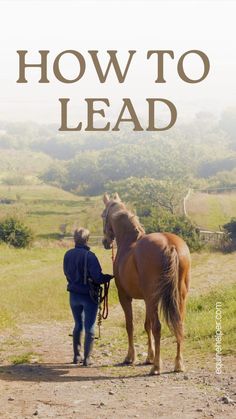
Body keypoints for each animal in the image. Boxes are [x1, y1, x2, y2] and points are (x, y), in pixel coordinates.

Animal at [102, 192, 191, 376]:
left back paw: (156, 366)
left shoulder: (125, 297)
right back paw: (178, 364)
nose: (105, 242)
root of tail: (169, 244)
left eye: (102, 215)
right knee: (179, 324)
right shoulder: (146, 299)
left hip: (153, 298)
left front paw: (131, 357)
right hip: (178, 297)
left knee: (158, 327)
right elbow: (146, 325)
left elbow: (130, 325)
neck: (129, 242)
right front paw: (149, 356)